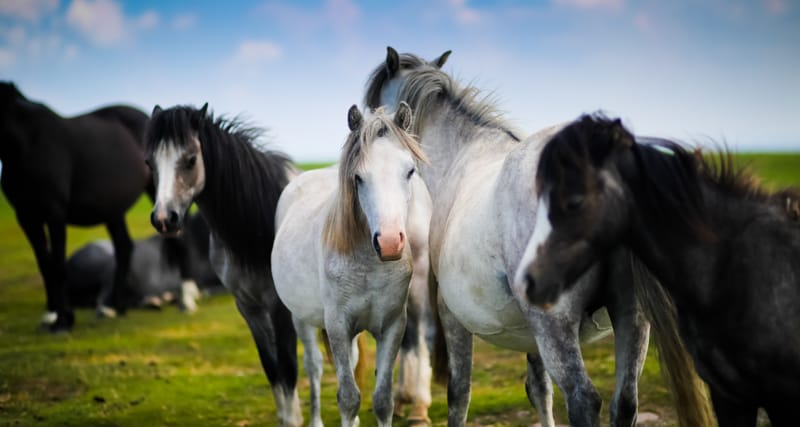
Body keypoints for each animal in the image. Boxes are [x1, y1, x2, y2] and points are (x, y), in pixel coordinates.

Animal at [0, 81, 151, 332]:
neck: (28, 143)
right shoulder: (26, 215)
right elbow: (45, 264)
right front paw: (50, 314)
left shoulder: (55, 213)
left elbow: (58, 265)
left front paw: (63, 320)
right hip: (113, 211)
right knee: (124, 247)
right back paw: (116, 307)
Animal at [144, 103, 301, 426]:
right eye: (149, 163)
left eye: (191, 159)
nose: (165, 219)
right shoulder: (249, 308)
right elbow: (273, 370)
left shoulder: (280, 309)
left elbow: (289, 369)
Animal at [271, 103, 432, 427]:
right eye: (358, 177)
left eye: (409, 171)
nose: (389, 243)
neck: (370, 266)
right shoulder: (337, 326)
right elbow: (348, 398)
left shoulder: (392, 326)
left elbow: (382, 400)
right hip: (301, 319)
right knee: (314, 366)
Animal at [364, 47, 660, 427]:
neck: (463, 153)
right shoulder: (530, 336)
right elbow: (539, 390)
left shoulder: (451, 314)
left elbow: (459, 393)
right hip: (631, 319)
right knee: (624, 403)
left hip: (555, 326)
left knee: (583, 399)